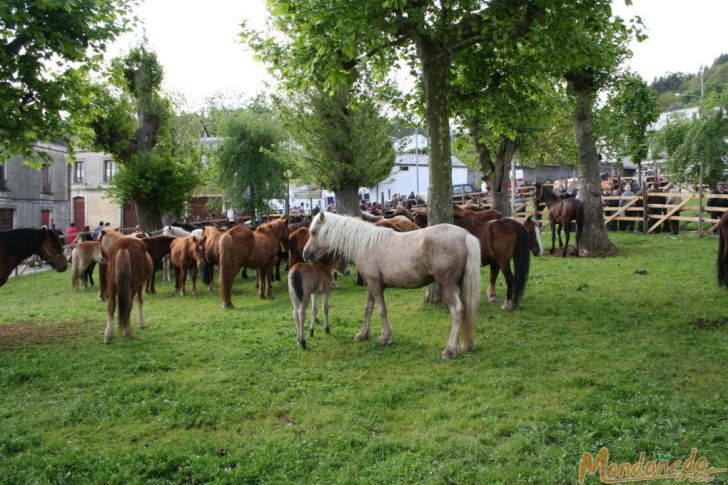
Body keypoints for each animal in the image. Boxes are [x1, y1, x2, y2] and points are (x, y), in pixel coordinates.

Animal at [302, 213, 484, 360]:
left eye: (313, 232)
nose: (305, 254)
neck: (365, 245)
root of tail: (465, 235)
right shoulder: (371, 285)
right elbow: (368, 309)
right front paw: (363, 334)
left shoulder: (376, 285)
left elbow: (382, 310)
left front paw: (385, 338)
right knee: (465, 309)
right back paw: (464, 344)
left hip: (447, 285)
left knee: (457, 310)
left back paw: (450, 349)